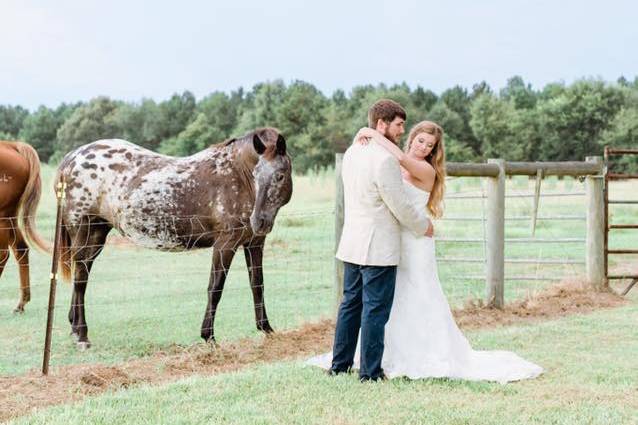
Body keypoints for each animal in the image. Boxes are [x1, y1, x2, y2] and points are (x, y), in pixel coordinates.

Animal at [0, 139, 49, 312]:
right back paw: (22, 302)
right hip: (10, 216)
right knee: (21, 248)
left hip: (2, 215)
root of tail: (12, 145)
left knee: (3, 254)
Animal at [56, 128, 294, 348]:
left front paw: (266, 329)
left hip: (96, 234)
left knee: (82, 274)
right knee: (80, 277)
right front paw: (209, 337)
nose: (259, 221)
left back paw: (75, 328)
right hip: (84, 232)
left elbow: (257, 284)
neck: (237, 174)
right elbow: (215, 288)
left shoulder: (254, 243)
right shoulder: (225, 244)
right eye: (256, 175)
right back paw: (82, 335)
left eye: (280, 175)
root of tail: (71, 159)